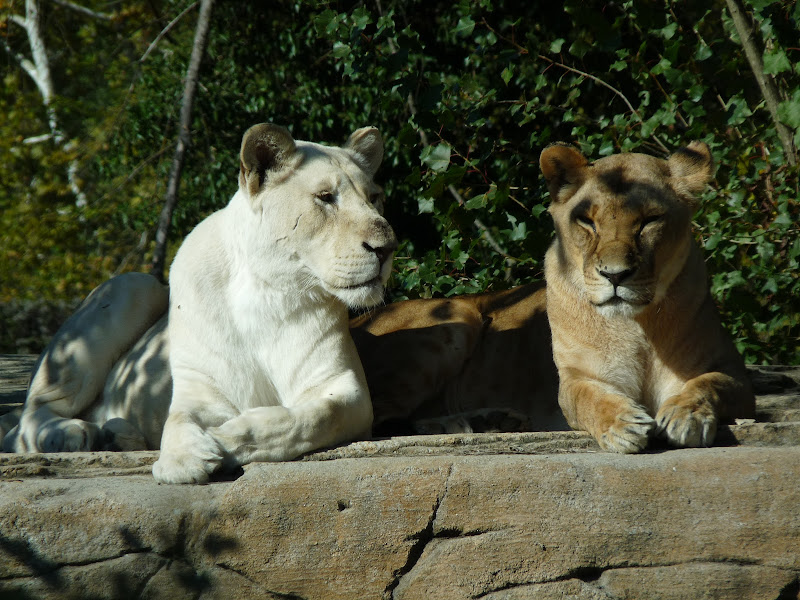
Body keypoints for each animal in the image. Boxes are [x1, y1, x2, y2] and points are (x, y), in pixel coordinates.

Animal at [2, 124, 396, 486]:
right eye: (326, 197)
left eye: (374, 197)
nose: (386, 248)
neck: (269, 289)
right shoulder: (201, 387)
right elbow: (180, 419)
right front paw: (182, 458)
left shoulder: (344, 388)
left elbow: (307, 418)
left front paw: (223, 437)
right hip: (134, 285)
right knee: (26, 420)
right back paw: (76, 434)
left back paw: (117, 435)